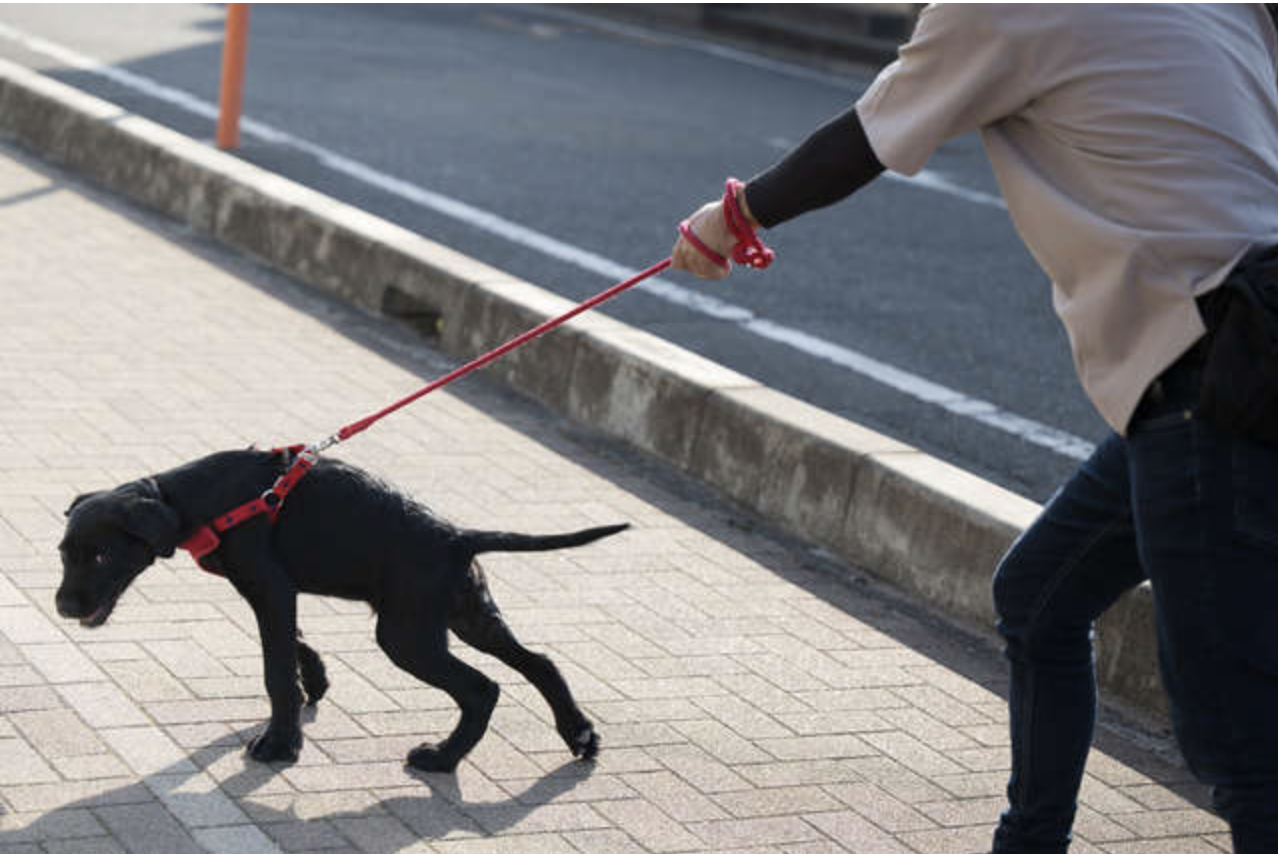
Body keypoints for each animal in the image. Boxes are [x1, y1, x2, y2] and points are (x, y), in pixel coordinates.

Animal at [54, 450, 623, 772]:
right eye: (63, 553)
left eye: (100, 555)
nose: (62, 606)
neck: (202, 498)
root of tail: (455, 537)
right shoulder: (271, 592)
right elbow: (294, 644)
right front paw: (317, 682)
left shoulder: (269, 586)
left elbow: (276, 669)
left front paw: (280, 743)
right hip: (467, 616)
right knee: (540, 663)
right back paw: (579, 734)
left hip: (406, 635)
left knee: (482, 688)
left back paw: (441, 759)